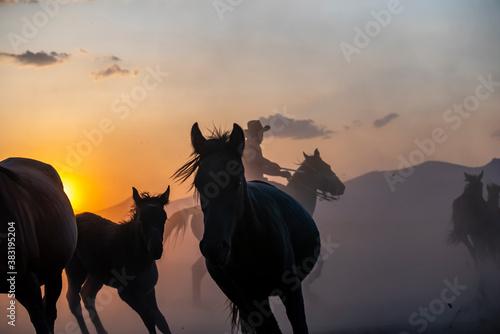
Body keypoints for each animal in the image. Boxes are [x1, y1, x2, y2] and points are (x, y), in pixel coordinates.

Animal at [66, 187, 172, 334]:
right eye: (141, 220)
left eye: (164, 218)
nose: (156, 250)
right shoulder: (126, 293)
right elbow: (149, 318)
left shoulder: (148, 290)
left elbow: (161, 321)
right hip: (75, 271)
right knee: (73, 301)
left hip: (96, 275)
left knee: (87, 295)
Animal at [174, 123, 318, 334]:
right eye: (198, 184)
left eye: (237, 182)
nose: (214, 248)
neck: (253, 243)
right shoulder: (251, 299)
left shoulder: (291, 290)